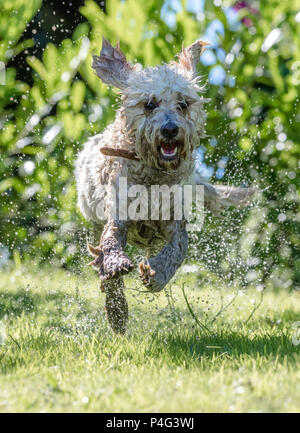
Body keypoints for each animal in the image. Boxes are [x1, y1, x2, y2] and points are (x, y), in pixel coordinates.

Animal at [74, 38, 254, 334]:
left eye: (183, 104)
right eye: (149, 104)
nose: (170, 129)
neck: (153, 178)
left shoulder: (175, 222)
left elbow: (177, 250)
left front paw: (156, 274)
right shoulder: (118, 213)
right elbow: (110, 244)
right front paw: (117, 265)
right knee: (103, 266)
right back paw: (116, 310)